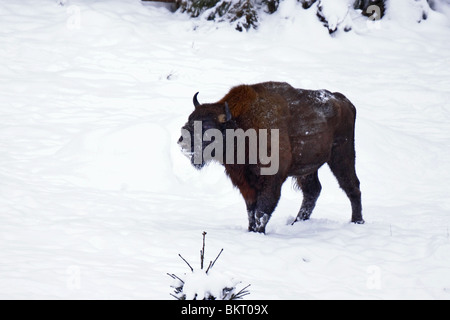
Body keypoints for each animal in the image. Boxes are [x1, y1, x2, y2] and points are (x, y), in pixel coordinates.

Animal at [178, 81, 364, 234]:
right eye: (190, 119)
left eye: (208, 126)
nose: (182, 141)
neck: (241, 126)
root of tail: (343, 101)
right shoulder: (246, 184)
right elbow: (251, 210)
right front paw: (251, 230)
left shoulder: (271, 181)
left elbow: (262, 211)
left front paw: (258, 232)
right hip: (307, 169)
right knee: (313, 191)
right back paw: (297, 223)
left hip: (342, 154)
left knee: (351, 185)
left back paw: (357, 221)